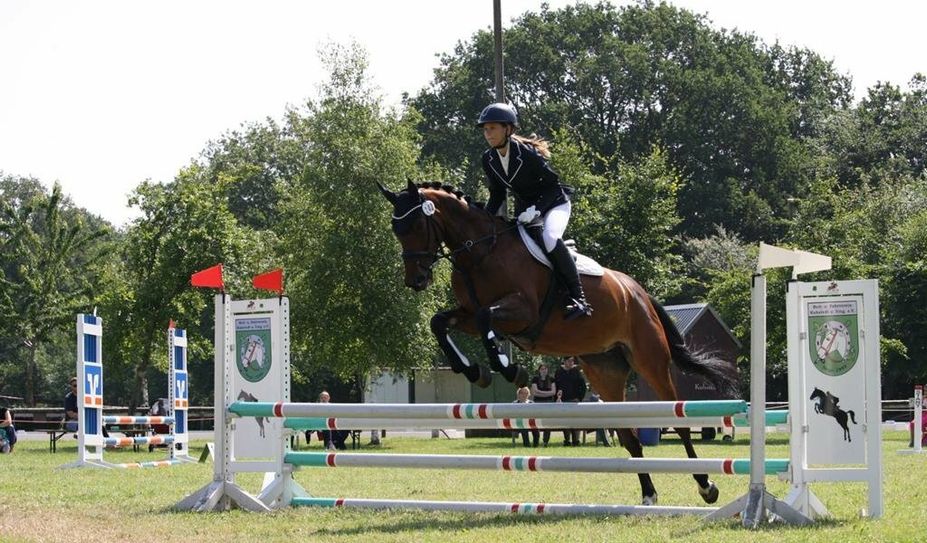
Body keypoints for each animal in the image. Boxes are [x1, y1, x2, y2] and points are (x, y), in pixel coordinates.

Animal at [376, 180, 740, 506]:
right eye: (396, 229)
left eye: (415, 225)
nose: (415, 280)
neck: (480, 252)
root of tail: (637, 292)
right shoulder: (466, 313)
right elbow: (440, 322)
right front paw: (474, 371)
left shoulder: (521, 311)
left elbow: (484, 319)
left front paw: (510, 370)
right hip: (604, 374)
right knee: (630, 437)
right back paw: (649, 495)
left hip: (650, 361)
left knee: (679, 424)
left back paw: (706, 486)